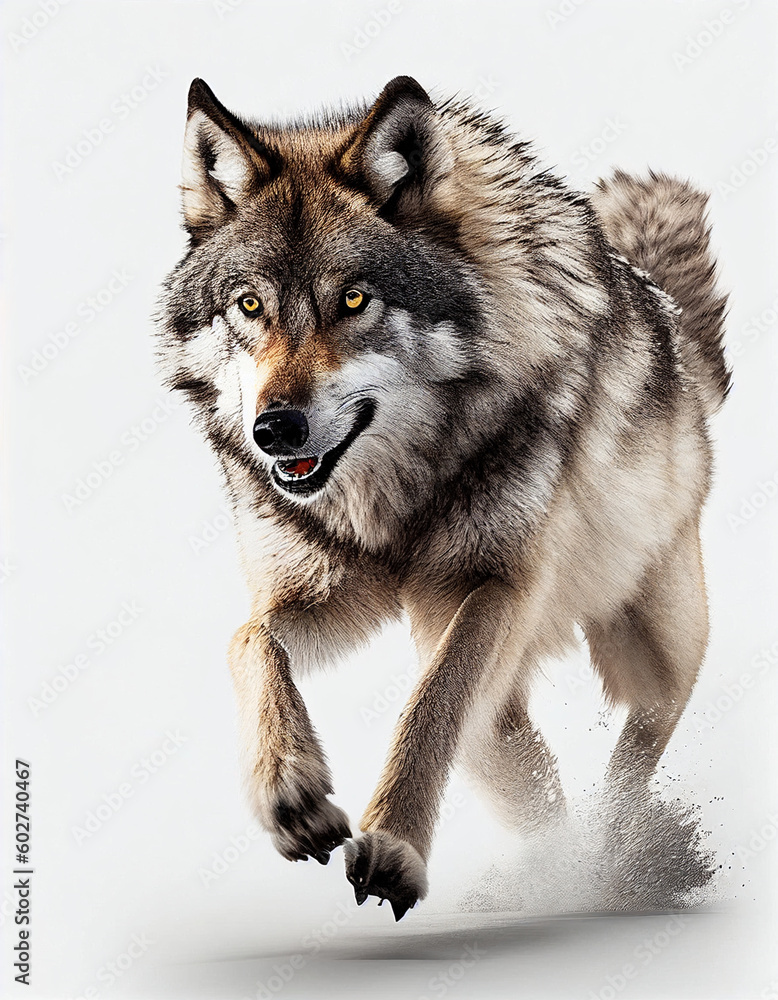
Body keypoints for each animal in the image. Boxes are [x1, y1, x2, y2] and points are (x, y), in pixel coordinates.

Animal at [156, 76, 729, 921]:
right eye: (250, 306)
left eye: (353, 300)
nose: (274, 429)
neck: (390, 501)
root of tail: (669, 320)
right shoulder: (324, 592)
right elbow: (247, 641)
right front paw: (289, 789)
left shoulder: (493, 584)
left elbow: (432, 700)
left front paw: (394, 845)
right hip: (487, 711)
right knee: (536, 784)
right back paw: (556, 875)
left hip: (652, 637)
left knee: (641, 735)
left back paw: (615, 864)